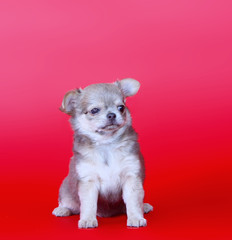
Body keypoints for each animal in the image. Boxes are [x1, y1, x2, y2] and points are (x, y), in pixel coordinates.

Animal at [53, 78, 153, 228]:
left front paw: (136, 217)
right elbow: (89, 204)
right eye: (94, 110)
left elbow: (133, 201)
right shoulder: (89, 180)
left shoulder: (131, 175)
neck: (107, 143)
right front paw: (88, 220)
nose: (112, 114)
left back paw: (144, 206)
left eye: (121, 107)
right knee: (70, 204)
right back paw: (62, 209)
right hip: (66, 190)